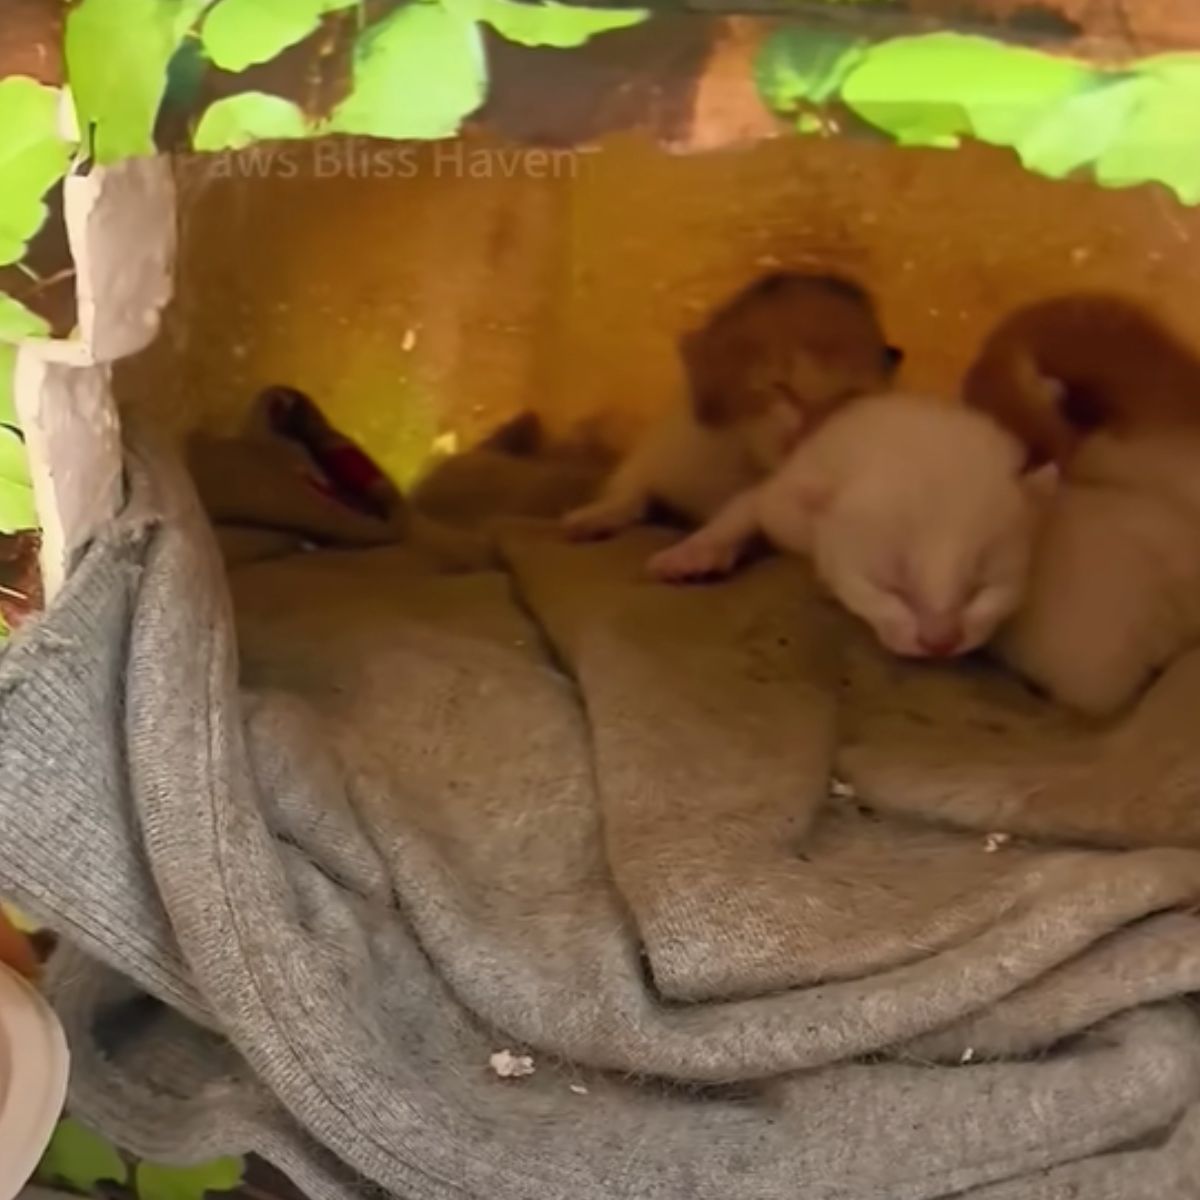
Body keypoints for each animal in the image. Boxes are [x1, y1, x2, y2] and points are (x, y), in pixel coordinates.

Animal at [561, 272, 902, 540]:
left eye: (849, 396)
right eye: (780, 385)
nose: (809, 422)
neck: (740, 458)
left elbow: (739, 517)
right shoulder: (654, 453)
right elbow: (629, 491)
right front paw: (587, 519)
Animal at [648, 391, 1051, 657]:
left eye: (981, 588)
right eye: (890, 587)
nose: (940, 644)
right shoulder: (789, 502)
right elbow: (751, 504)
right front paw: (694, 553)